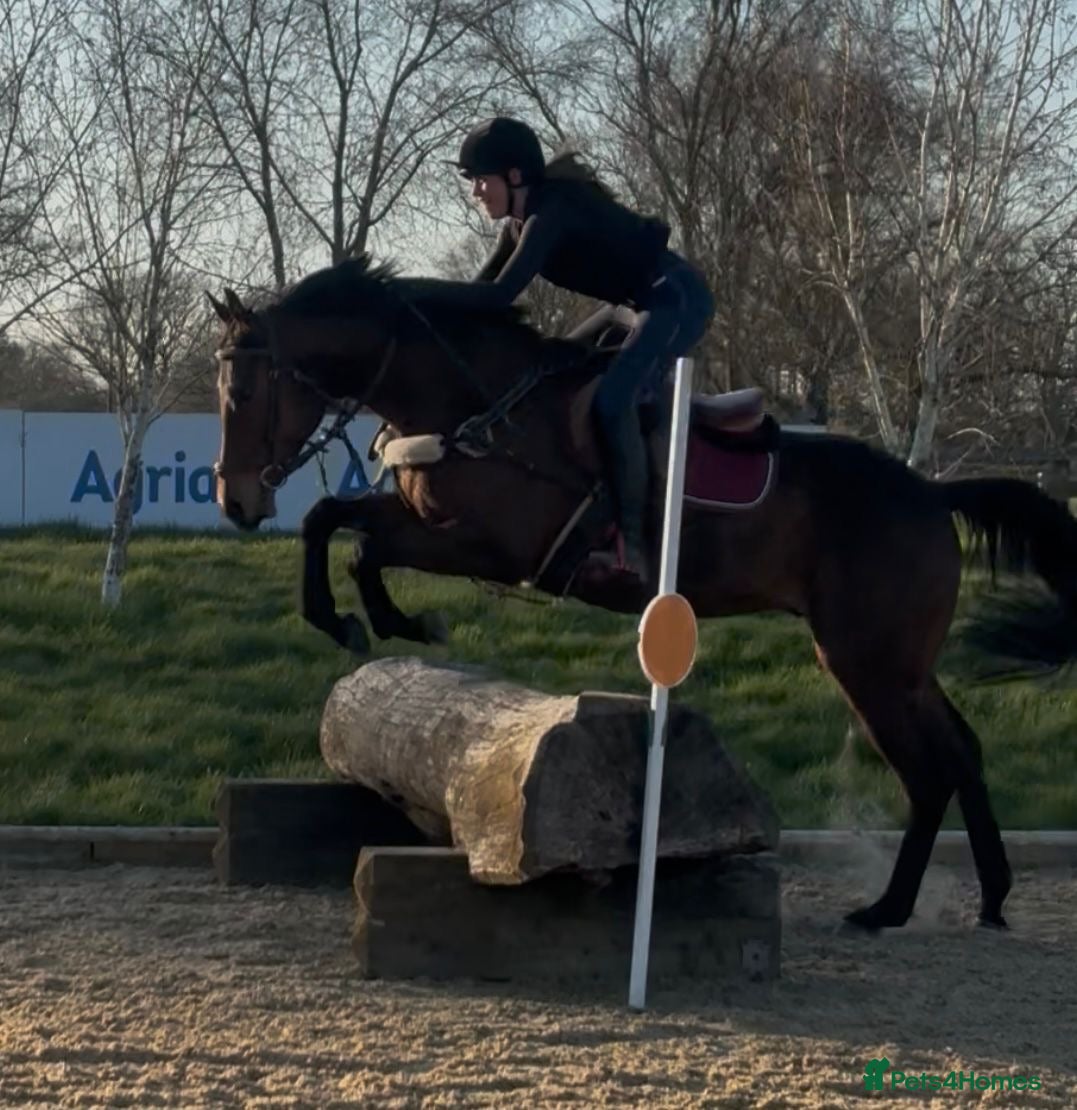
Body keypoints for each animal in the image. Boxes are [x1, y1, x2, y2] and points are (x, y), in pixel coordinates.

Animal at [209, 254, 1077, 934]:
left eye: (243, 394)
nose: (236, 501)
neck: (473, 400)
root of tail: (932, 493)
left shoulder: (492, 545)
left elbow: (357, 541)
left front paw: (393, 620)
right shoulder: (428, 518)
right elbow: (332, 521)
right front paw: (365, 621)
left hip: (865, 660)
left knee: (928, 771)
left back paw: (887, 909)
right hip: (898, 662)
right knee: (962, 750)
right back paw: (990, 899)